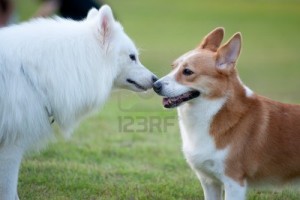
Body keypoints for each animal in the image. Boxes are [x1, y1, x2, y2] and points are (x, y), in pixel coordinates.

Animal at [154, 27, 300, 199]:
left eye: (188, 72)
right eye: (173, 66)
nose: (155, 85)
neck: (214, 111)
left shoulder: (234, 182)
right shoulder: (209, 181)